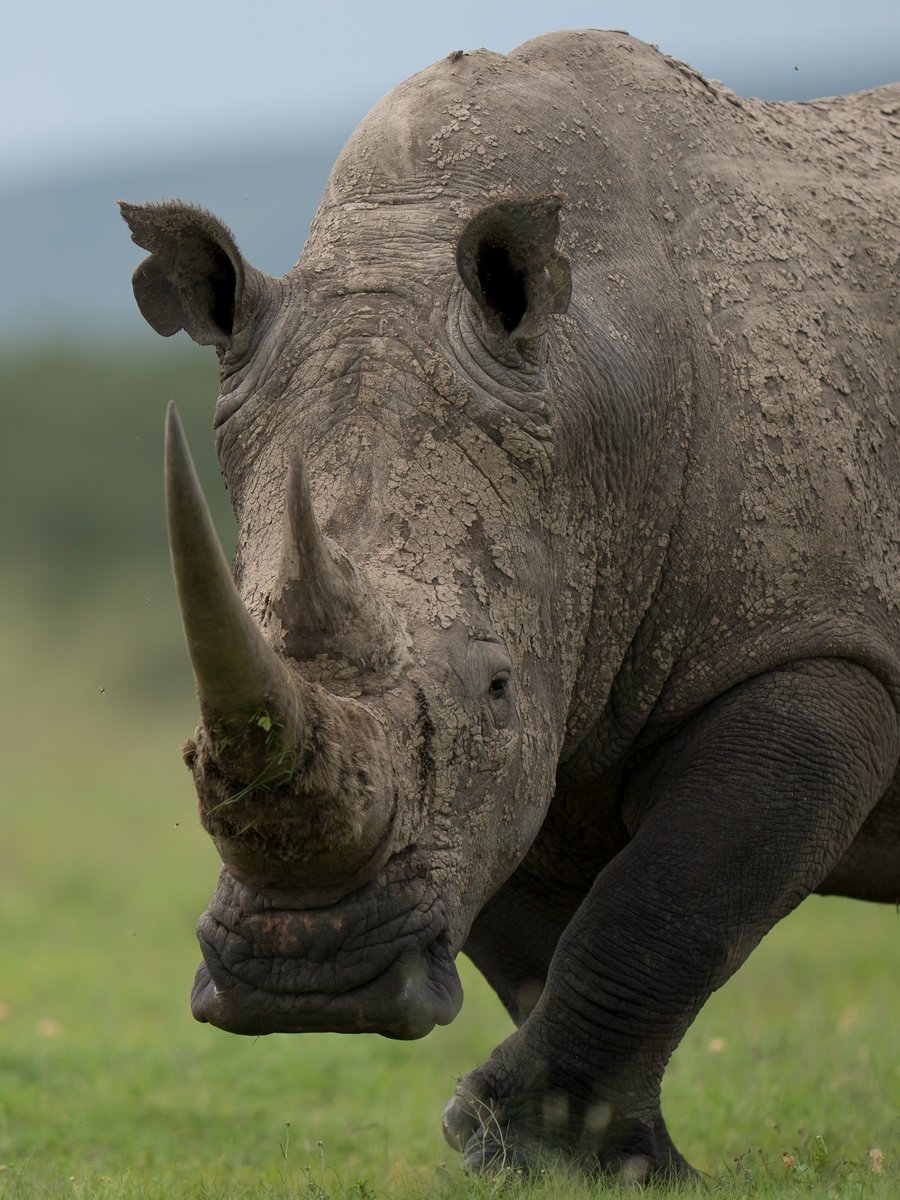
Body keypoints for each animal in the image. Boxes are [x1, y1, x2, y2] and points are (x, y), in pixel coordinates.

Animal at [121, 30, 900, 1179]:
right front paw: (584, 1165)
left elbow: (669, 906)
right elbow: (544, 940)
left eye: (492, 686)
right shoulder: (552, 689)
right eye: (188, 747)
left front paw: (524, 1139)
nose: (306, 979)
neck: (598, 400)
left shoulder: (818, 644)